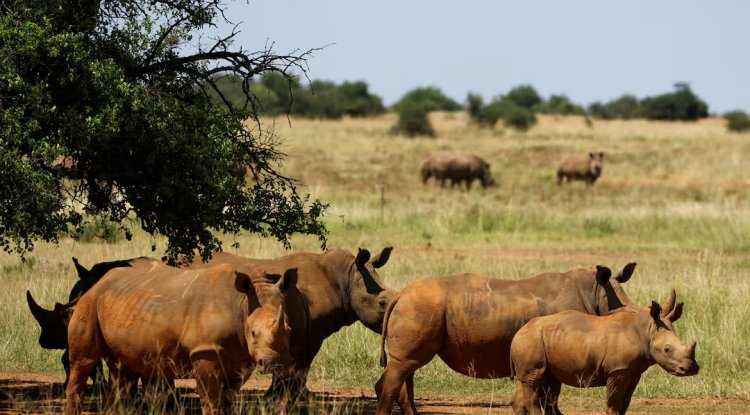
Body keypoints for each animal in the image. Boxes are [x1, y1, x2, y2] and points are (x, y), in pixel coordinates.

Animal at [65, 263, 297, 415]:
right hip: (89, 302)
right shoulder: (205, 351)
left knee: (122, 370)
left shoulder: (241, 357)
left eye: (289, 329)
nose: (275, 364)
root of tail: (97, 282)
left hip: (120, 304)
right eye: (254, 333)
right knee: (83, 361)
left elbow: (227, 399)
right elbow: (211, 399)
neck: (241, 303)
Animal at [191, 247, 394, 404]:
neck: (348, 279)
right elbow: (303, 364)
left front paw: (275, 397)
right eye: (382, 304)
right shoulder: (311, 330)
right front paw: (299, 398)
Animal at [375, 263, 638, 415]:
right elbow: (550, 397)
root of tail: (400, 294)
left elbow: (548, 397)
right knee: (405, 366)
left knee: (407, 367)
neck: (597, 293)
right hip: (421, 308)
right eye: (625, 316)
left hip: (419, 308)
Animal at [510, 289, 699, 415]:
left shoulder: (633, 371)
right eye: (667, 349)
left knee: (539, 382)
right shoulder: (618, 370)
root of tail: (518, 332)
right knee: (534, 383)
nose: (691, 369)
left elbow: (624, 403)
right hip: (531, 340)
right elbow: (613, 403)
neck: (645, 331)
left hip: (539, 342)